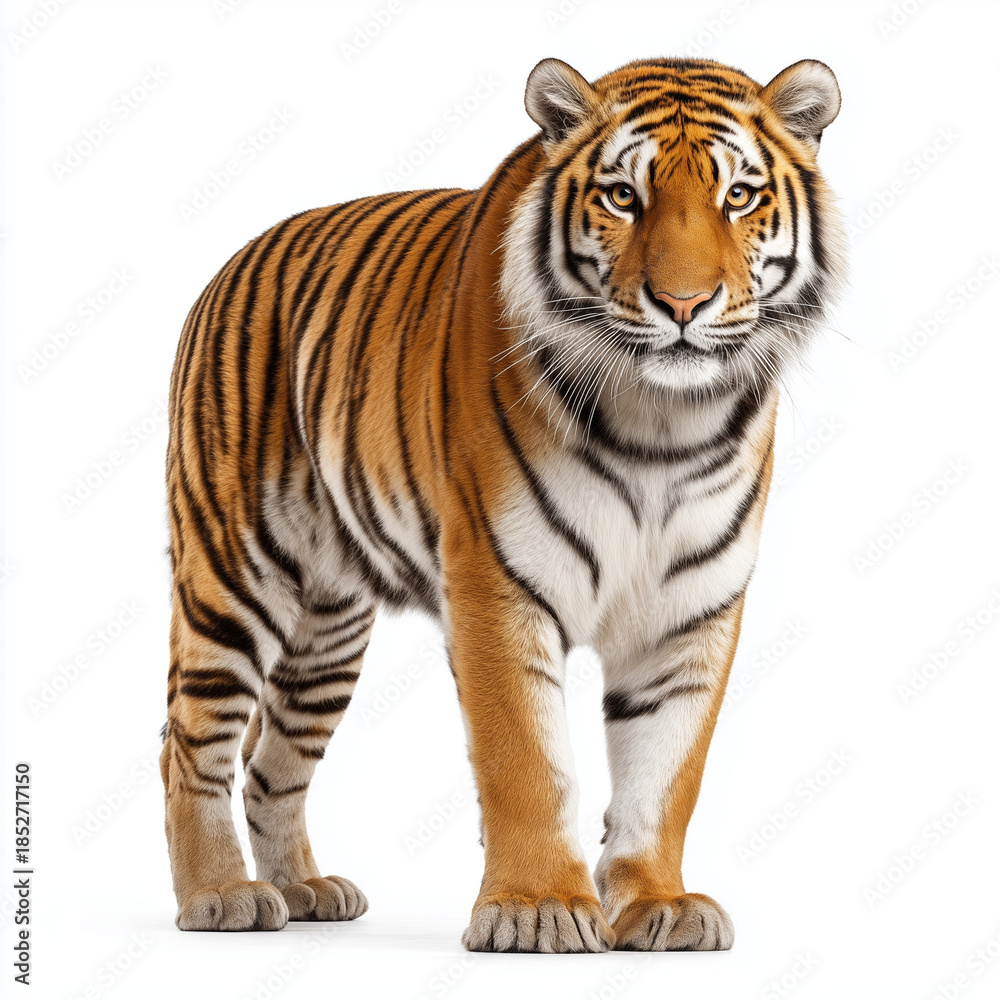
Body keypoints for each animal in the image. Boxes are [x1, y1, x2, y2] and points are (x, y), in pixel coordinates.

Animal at [160, 54, 845, 953]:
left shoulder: (693, 607)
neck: (664, 425)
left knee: (271, 762)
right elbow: (526, 759)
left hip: (328, 626)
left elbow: (667, 771)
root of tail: (233, 259)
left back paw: (305, 888)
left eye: (738, 195)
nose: (683, 305)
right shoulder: (497, 583)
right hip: (233, 573)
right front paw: (538, 908)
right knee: (192, 741)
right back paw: (219, 896)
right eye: (622, 196)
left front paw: (658, 903)